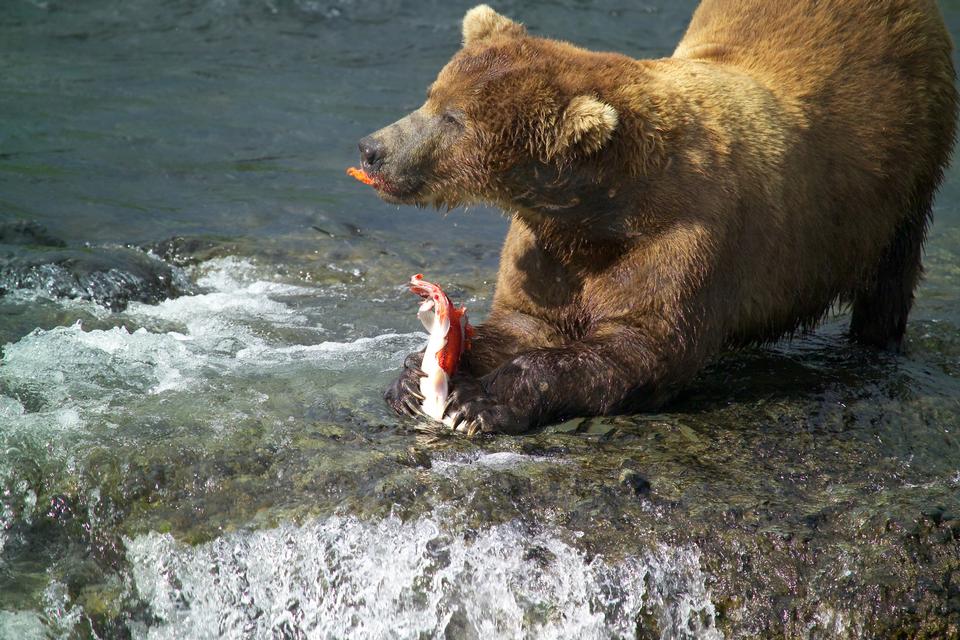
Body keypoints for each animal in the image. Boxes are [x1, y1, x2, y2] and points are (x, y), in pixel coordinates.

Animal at [362, 1, 960, 436]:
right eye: (432, 95)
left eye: (455, 119)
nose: (373, 150)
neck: (601, 209)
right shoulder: (548, 246)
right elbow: (524, 321)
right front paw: (415, 376)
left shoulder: (682, 236)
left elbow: (641, 345)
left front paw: (477, 401)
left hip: (905, 167)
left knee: (891, 273)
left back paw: (872, 344)